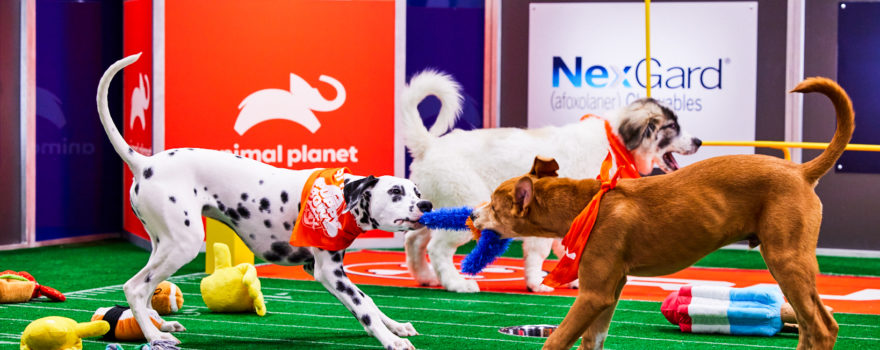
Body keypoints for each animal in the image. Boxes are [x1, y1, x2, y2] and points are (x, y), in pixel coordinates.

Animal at [99, 54, 430, 350]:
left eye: (416, 191)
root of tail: (144, 163)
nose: (426, 206)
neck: (339, 198)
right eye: (395, 192)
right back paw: (156, 337)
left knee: (147, 290)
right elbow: (363, 307)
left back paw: (160, 325)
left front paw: (396, 326)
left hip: (163, 246)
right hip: (183, 245)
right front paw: (391, 340)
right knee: (135, 288)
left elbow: (370, 302)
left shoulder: (323, 267)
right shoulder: (328, 272)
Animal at [474, 76, 852, 350]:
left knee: (822, 327)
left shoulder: (594, 294)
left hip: (787, 259)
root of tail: (800, 171)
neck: (587, 204)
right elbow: (591, 340)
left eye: (493, 203)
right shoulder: (611, 290)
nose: (472, 215)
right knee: (810, 326)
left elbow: (556, 340)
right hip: (785, 266)